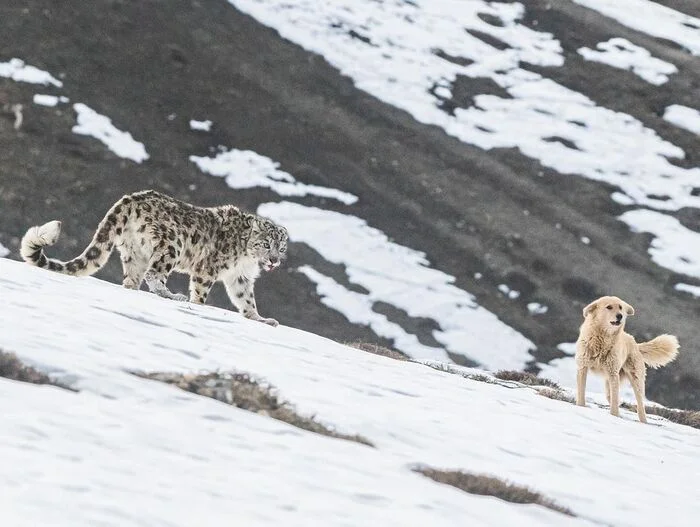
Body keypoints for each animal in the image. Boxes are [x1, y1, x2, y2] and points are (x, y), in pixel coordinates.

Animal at [19, 192, 288, 326]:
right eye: (266, 244)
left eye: (282, 247)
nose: (274, 261)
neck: (247, 258)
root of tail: (130, 198)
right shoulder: (207, 269)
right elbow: (201, 292)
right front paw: (199, 306)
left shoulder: (240, 277)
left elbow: (246, 300)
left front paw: (261, 319)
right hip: (171, 244)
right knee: (154, 274)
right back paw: (172, 295)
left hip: (133, 251)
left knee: (132, 279)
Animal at [576, 296, 680, 424]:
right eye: (609, 307)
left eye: (620, 307)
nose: (620, 316)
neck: (602, 339)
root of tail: (635, 343)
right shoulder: (582, 367)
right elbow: (581, 393)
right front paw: (580, 407)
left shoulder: (613, 373)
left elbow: (615, 402)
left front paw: (614, 416)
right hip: (611, 381)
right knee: (611, 397)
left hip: (635, 379)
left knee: (639, 405)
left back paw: (643, 421)